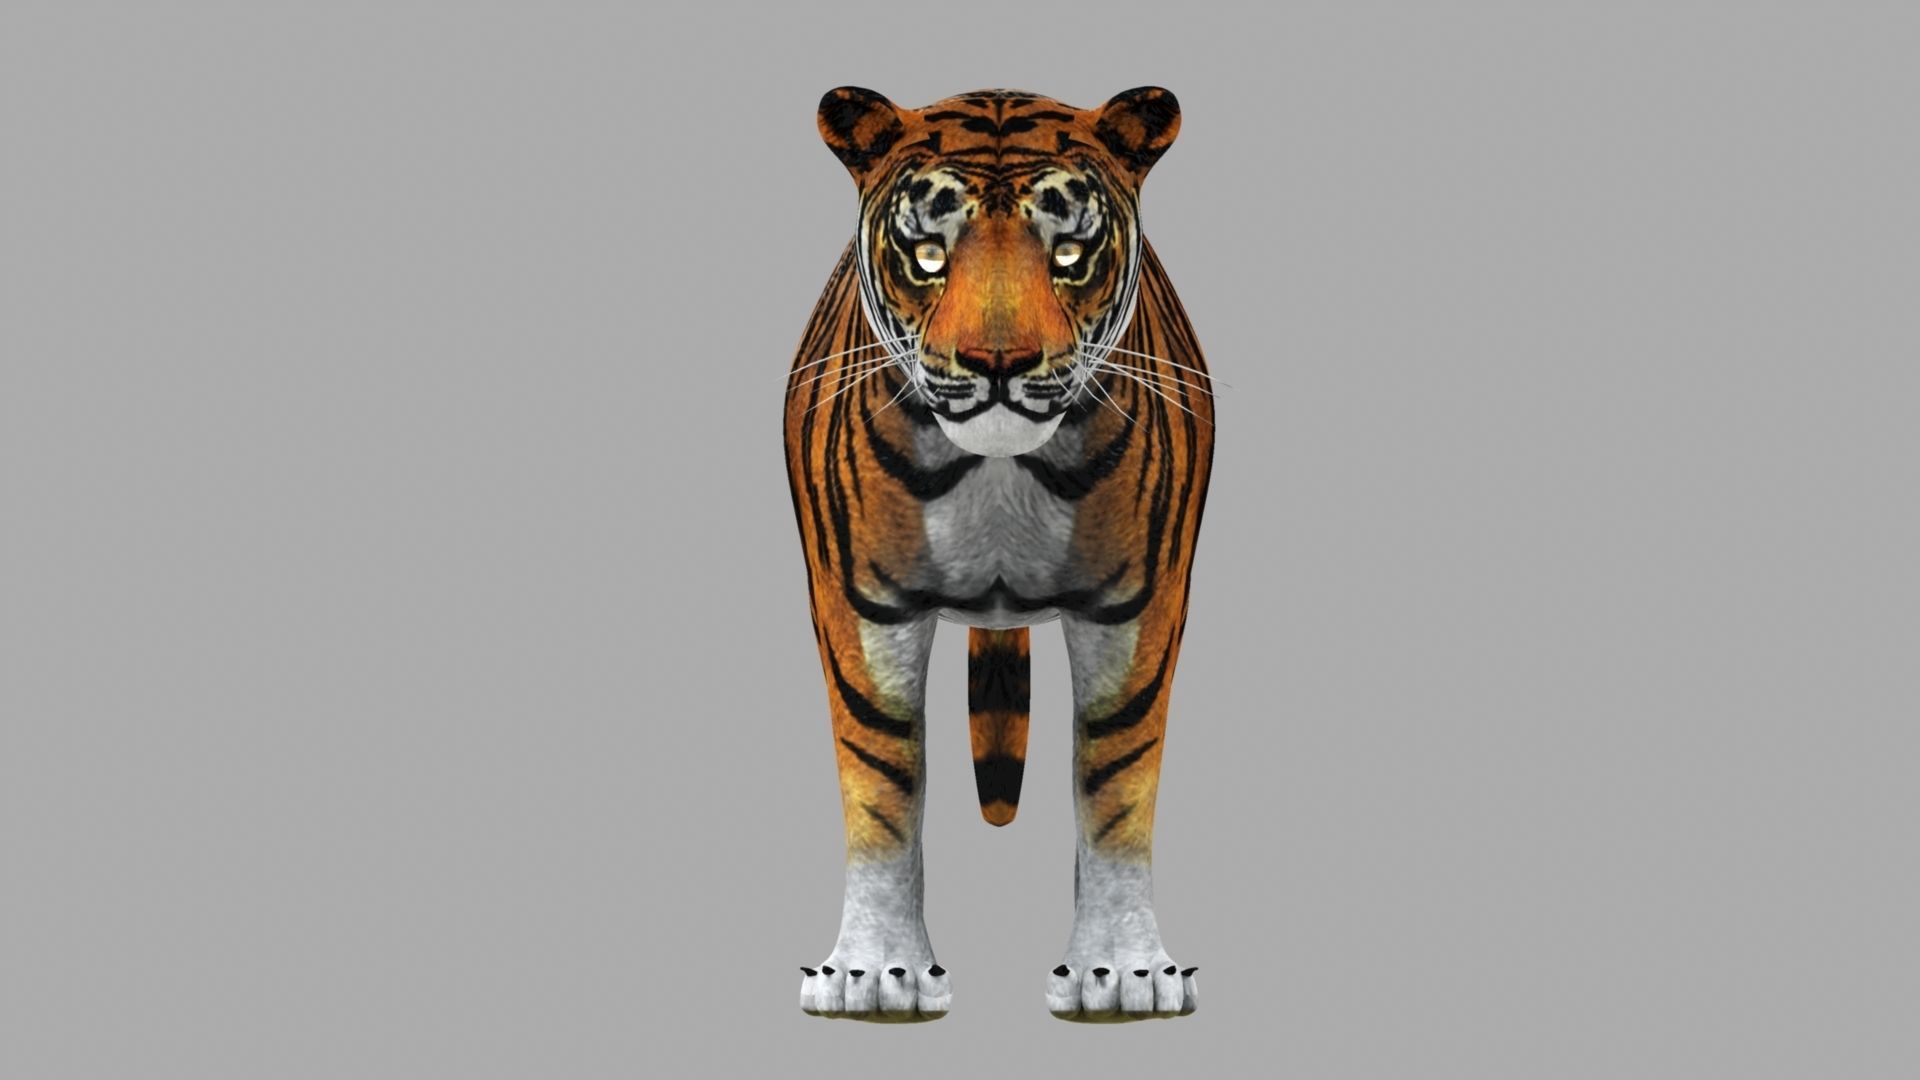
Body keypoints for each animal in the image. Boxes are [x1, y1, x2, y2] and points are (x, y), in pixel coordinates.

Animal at [785, 86, 1215, 1022]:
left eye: (1069, 253)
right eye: (927, 254)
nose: (997, 362)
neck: (998, 472)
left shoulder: (1134, 604)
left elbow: (1117, 777)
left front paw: (1120, 971)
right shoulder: (865, 603)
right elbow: (881, 778)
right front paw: (876, 972)